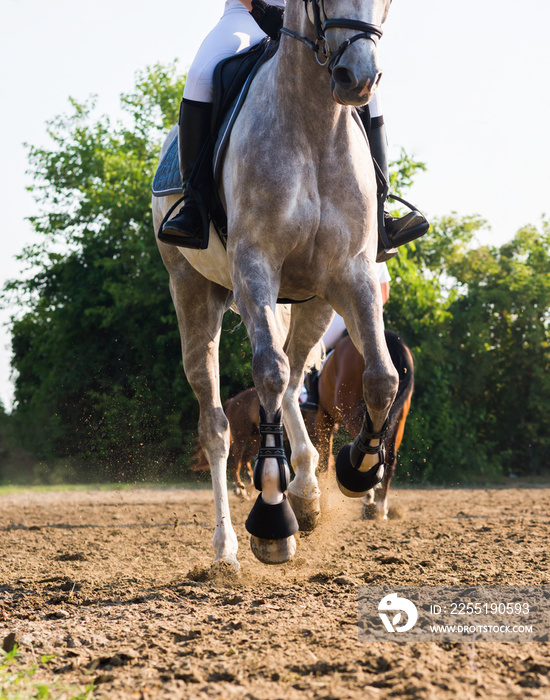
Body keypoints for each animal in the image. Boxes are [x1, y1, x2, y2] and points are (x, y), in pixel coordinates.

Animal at [153, 0, 398, 572]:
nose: (357, 79)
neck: (314, 123)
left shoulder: (353, 272)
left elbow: (382, 377)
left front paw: (357, 468)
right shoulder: (255, 268)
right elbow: (267, 372)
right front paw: (271, 520)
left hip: (312, 302)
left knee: (293, 379)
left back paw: (306, 489)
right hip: (195, 295)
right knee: (218, 424)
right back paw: (227, 546)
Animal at [314, 330, 414, 520]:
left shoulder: (324, 415)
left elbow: (325, 458)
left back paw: (368, 502)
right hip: (400, 418)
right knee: (390, 457)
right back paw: (380, 509)